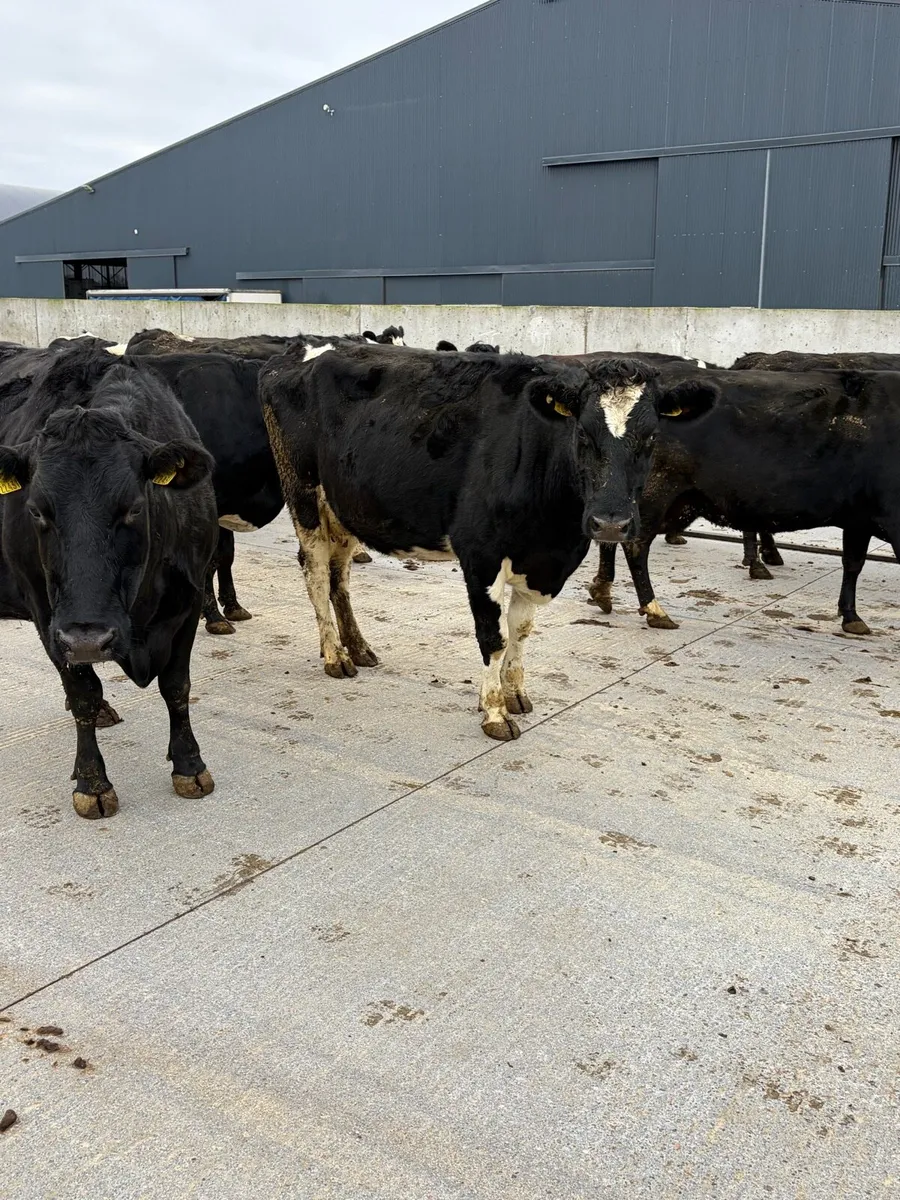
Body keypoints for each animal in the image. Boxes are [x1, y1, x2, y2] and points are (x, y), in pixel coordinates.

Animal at [0, 346, 217, 818]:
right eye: (36, 510)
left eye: (133, 507)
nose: (89, 640)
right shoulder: (48, 615)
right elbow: (82, 690)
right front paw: (92, 783)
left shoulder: (190, 598)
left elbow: (177, 686)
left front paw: (190, 766)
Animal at [260, 344, 716, 740]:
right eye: (583, 434)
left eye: (652, 438)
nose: (610, 523)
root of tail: (297, 353)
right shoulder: (480, 555)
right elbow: (493, 638)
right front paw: (494, 712)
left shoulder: (542, 563)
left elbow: (521, 631)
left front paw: (515, 695)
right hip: (303, 494)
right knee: (317, 573)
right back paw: (334, 656)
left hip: (344, 506)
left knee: (340, 575)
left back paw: (358, 649)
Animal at [588, 364, 900, 636]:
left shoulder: (859, 519)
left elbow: (853, 563)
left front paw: (851, 616)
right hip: (656, 492)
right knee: (635, 544)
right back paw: (654, 610)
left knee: (614, 535)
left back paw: (602, 591)